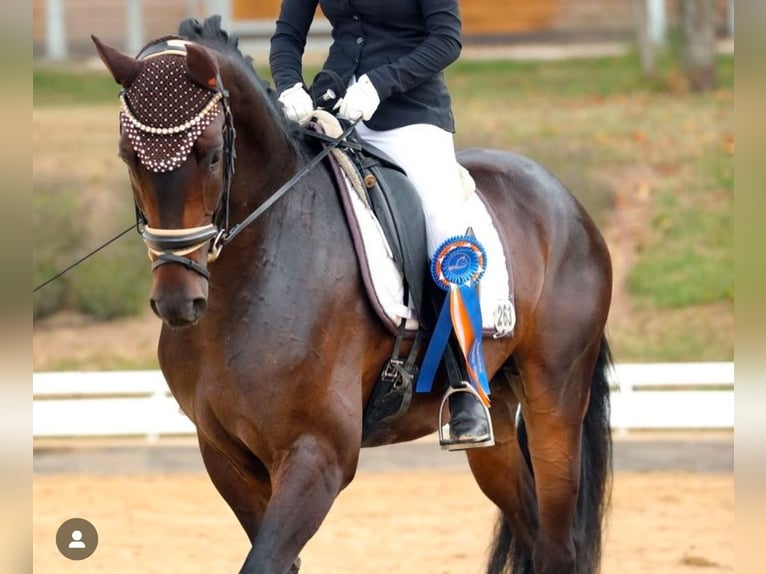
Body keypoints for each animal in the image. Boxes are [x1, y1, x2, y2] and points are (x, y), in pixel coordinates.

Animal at [93, 15, 616, 572]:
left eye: (211, 156)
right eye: (128, 157)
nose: (178, 300)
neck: (252, 274)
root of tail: (565, 201)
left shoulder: (318, 455)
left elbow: (264, 559)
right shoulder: (226, 456)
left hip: (555, 401)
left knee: (557, 544)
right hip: (493, 417)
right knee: (530, 526)